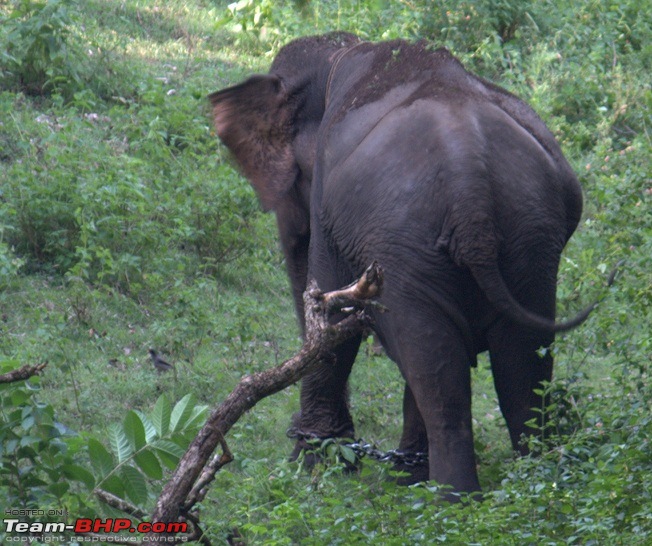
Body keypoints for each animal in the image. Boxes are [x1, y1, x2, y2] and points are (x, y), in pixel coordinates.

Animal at [209, 33, 592, 492]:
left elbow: (334, 316)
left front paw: (312, 468)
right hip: (527, 240)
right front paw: (397, 475)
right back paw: (528, 484)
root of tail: (470, 186)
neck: (346, 49)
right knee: (517, 366)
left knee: (440, 376)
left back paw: (451, 500)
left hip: (413, 244)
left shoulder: (327, 201)